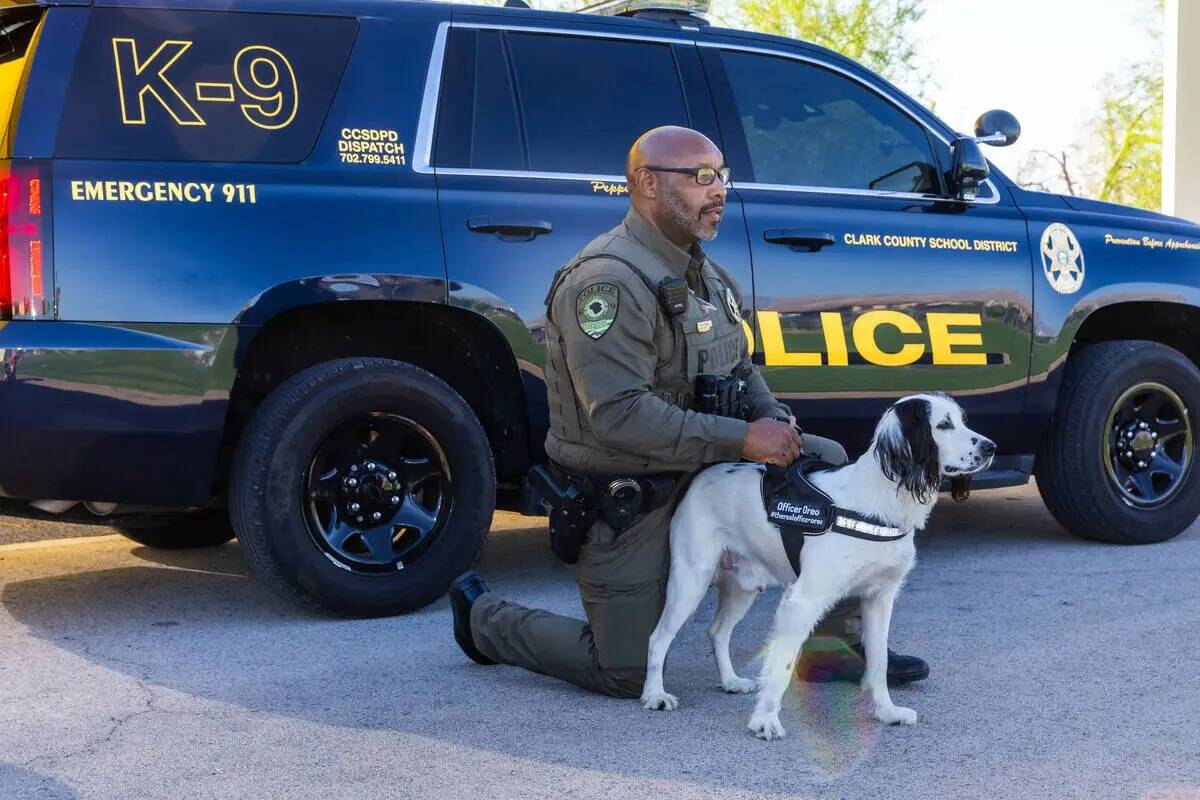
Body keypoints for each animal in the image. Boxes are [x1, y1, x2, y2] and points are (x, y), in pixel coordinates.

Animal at [643, 391, 998, 743]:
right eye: (943, 424)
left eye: (962, 420)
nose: (990, 447)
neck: (878, 502)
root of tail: (702, 474)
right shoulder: (803, 600)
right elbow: (783, 665)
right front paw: (765, 719)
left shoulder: (880, 598)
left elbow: (879, 661)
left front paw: (887, 711)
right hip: (691, 580)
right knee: (658, 637)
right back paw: (654, 694)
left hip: (743, 587)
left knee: (717, 631)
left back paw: (730, 681)